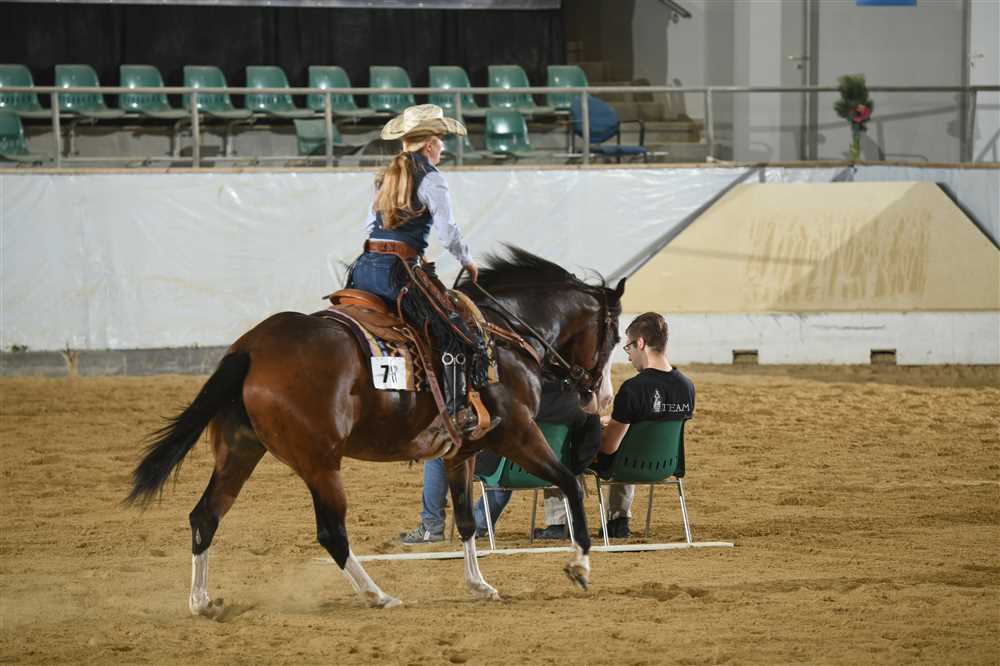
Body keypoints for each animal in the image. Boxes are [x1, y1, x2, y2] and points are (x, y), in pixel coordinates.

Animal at [126, 246, 624, 615]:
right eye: (614, 336)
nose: (594, 394)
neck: (498, 338)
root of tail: (251, 347)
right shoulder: (518, 433)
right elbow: (569, 483)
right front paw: (579, 566)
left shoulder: (459, 453)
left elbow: (467, 521)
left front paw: (479, 585)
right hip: (321, 464)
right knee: (331, 533)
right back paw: (378, 595)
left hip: (240, 451)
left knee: (205, 515)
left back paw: (202, 601)